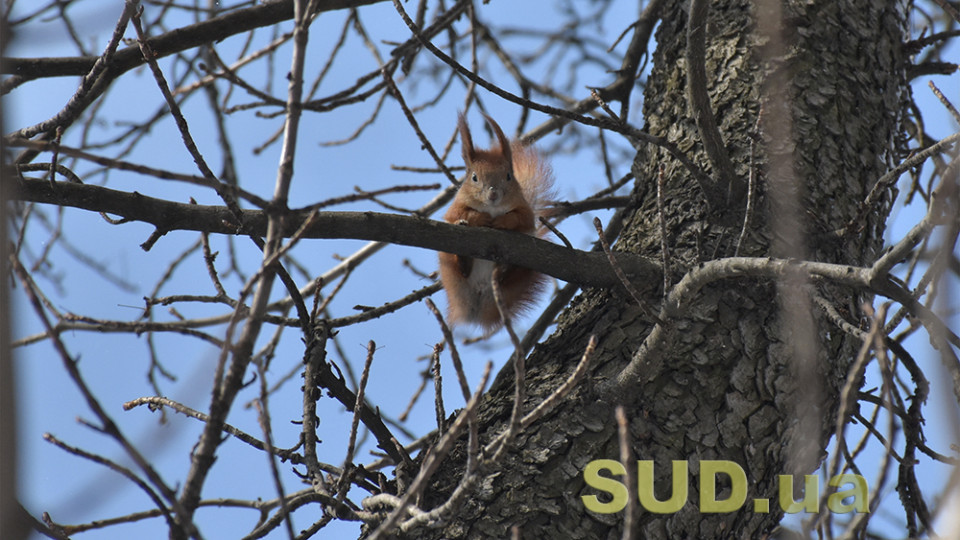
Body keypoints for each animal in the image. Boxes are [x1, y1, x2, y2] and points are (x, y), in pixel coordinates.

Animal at [436, 112, 556, 332]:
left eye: (508, 176)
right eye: (474, 177)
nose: (493, 194)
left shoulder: (525, 212)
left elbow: (519, 218)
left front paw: (501, 220)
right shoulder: (455, 208)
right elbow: (463, 213)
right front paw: (480, 218)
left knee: (506, 276)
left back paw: (504, 268)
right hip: (447, 260)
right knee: (461, 269)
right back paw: (463, 258)